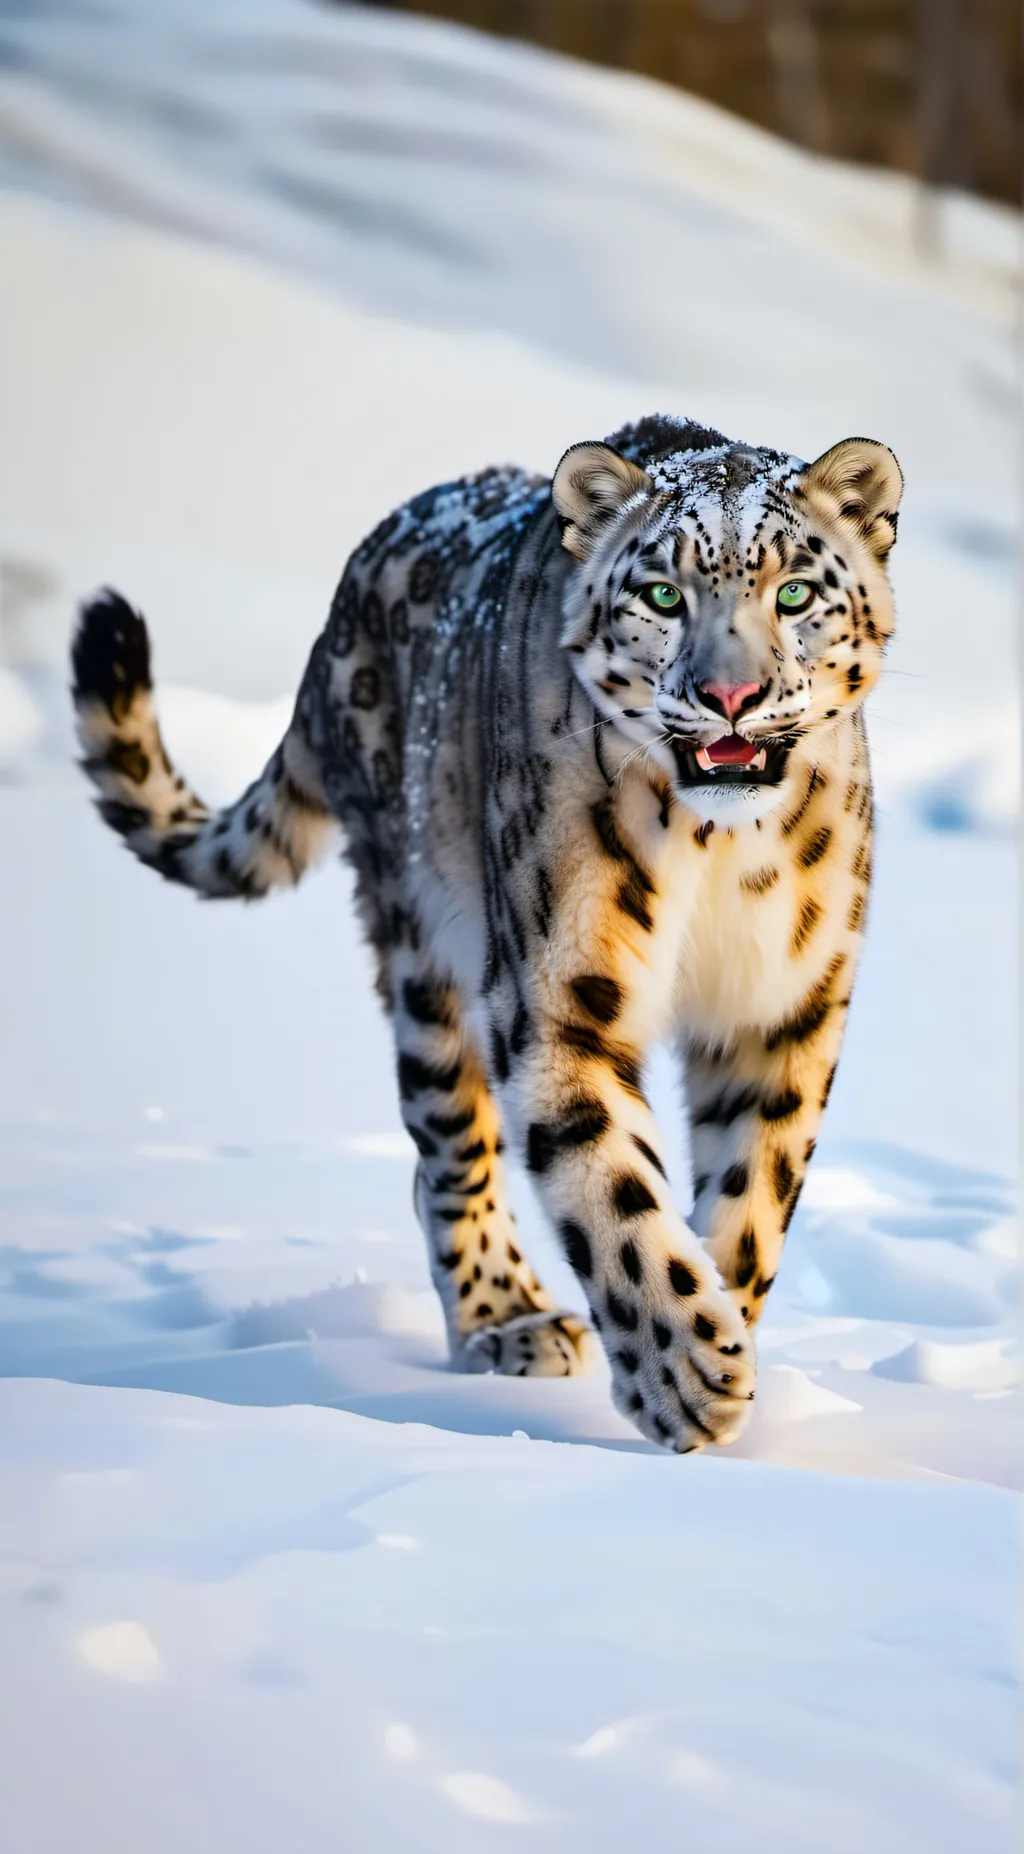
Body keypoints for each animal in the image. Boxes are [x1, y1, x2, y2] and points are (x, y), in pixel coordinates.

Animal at [70, 413, 902, 1452]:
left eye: (794, 592)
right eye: (663, 594)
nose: (730, 697)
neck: (717, 853)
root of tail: (349, 590)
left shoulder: (783, 1005)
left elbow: (754, 1192)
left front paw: (725, 1335)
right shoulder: (561, 996)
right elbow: (611, 1189)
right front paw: (686, 1376)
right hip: (426, 957)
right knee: (449, 1150)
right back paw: (507, 1319)